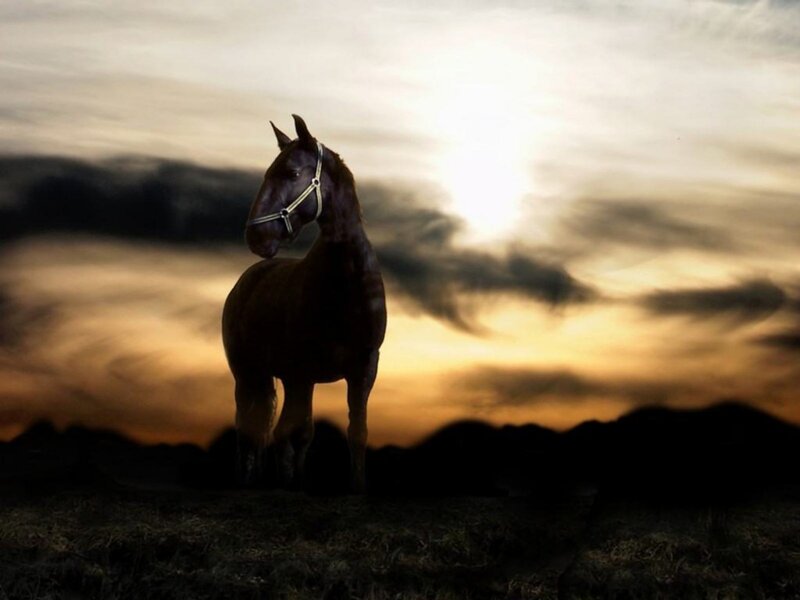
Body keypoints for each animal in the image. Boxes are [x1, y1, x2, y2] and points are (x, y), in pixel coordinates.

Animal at [222, 115, 387, 493]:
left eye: (293, 173)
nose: (256, 236)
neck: (346, 285)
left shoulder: (363, 370)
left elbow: (354, 431)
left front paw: (355, 487)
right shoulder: (299, 370)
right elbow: (289, 432)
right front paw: (288, 485)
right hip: (248, 373)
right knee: (249, 428)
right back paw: (247, 480)